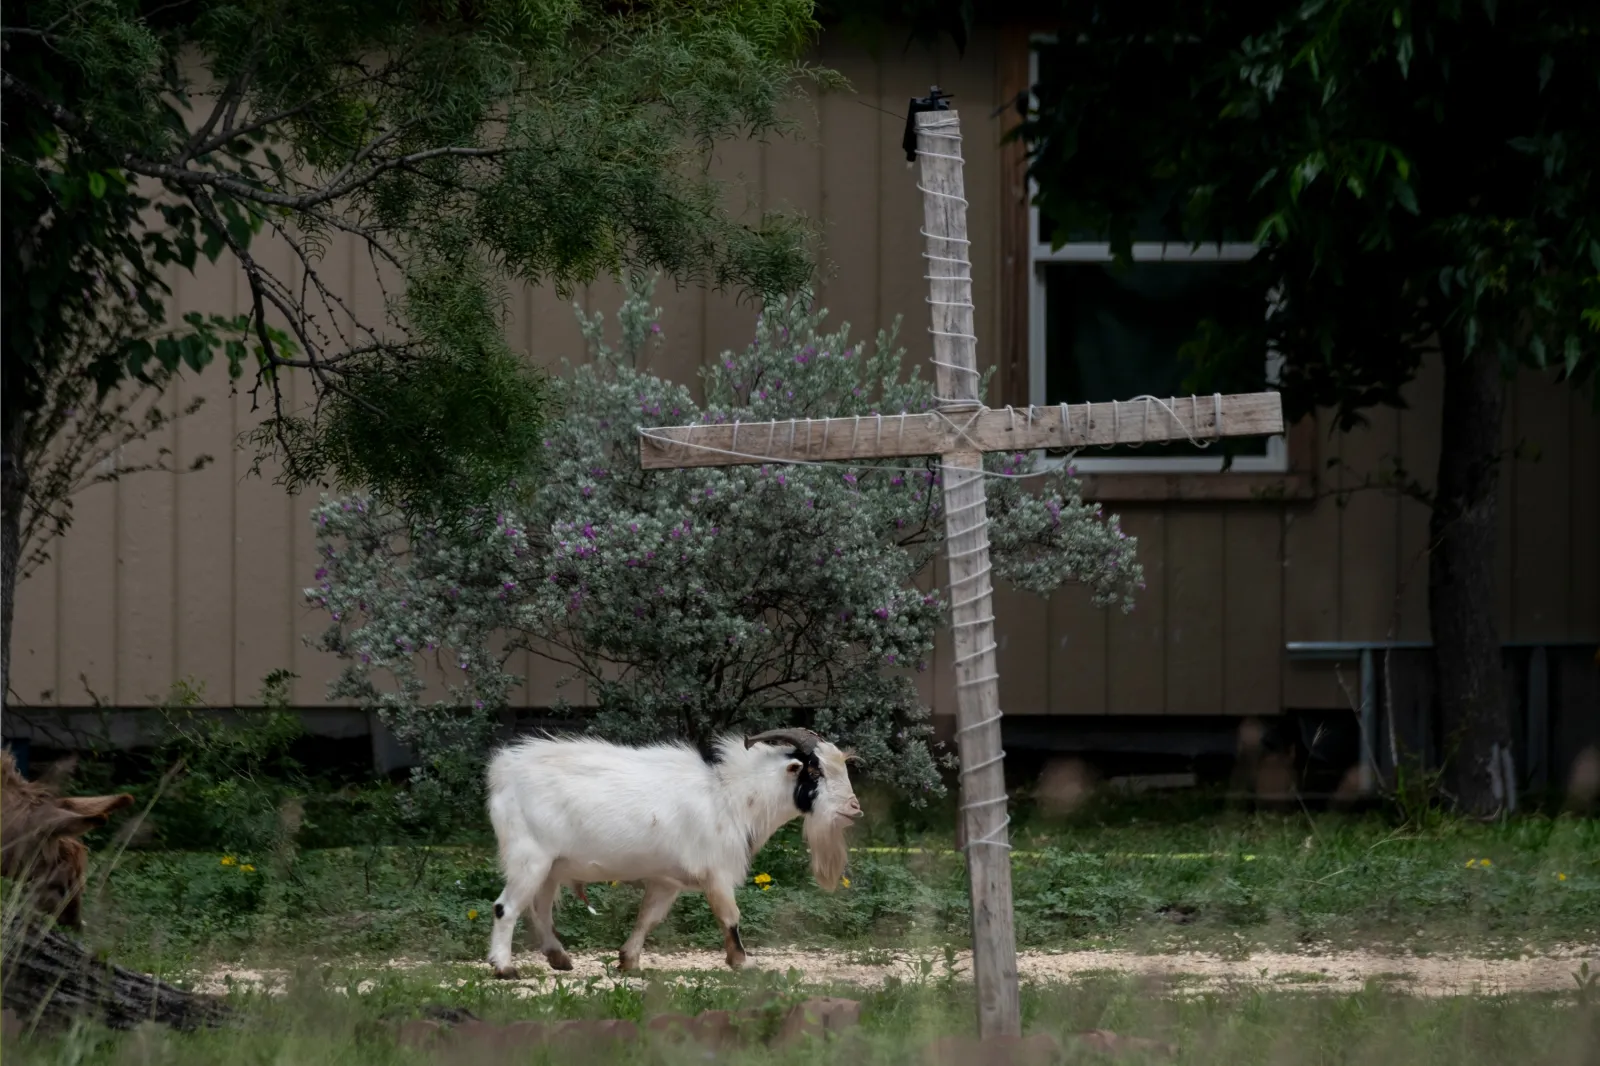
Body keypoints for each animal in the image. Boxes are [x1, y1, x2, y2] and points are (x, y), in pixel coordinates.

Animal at [485, 728, 863, 977]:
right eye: (814, 770)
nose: (854, 808)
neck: (733, 796)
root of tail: (504, 773)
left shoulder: (667, 881)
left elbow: (647, 917)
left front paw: (628, 961)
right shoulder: (717, 872)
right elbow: (730, 916)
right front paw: (742, 961)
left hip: (551, 866)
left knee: (540, 910)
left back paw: (559, 958)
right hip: (530, 858)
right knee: (506, 907)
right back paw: (504, 968)